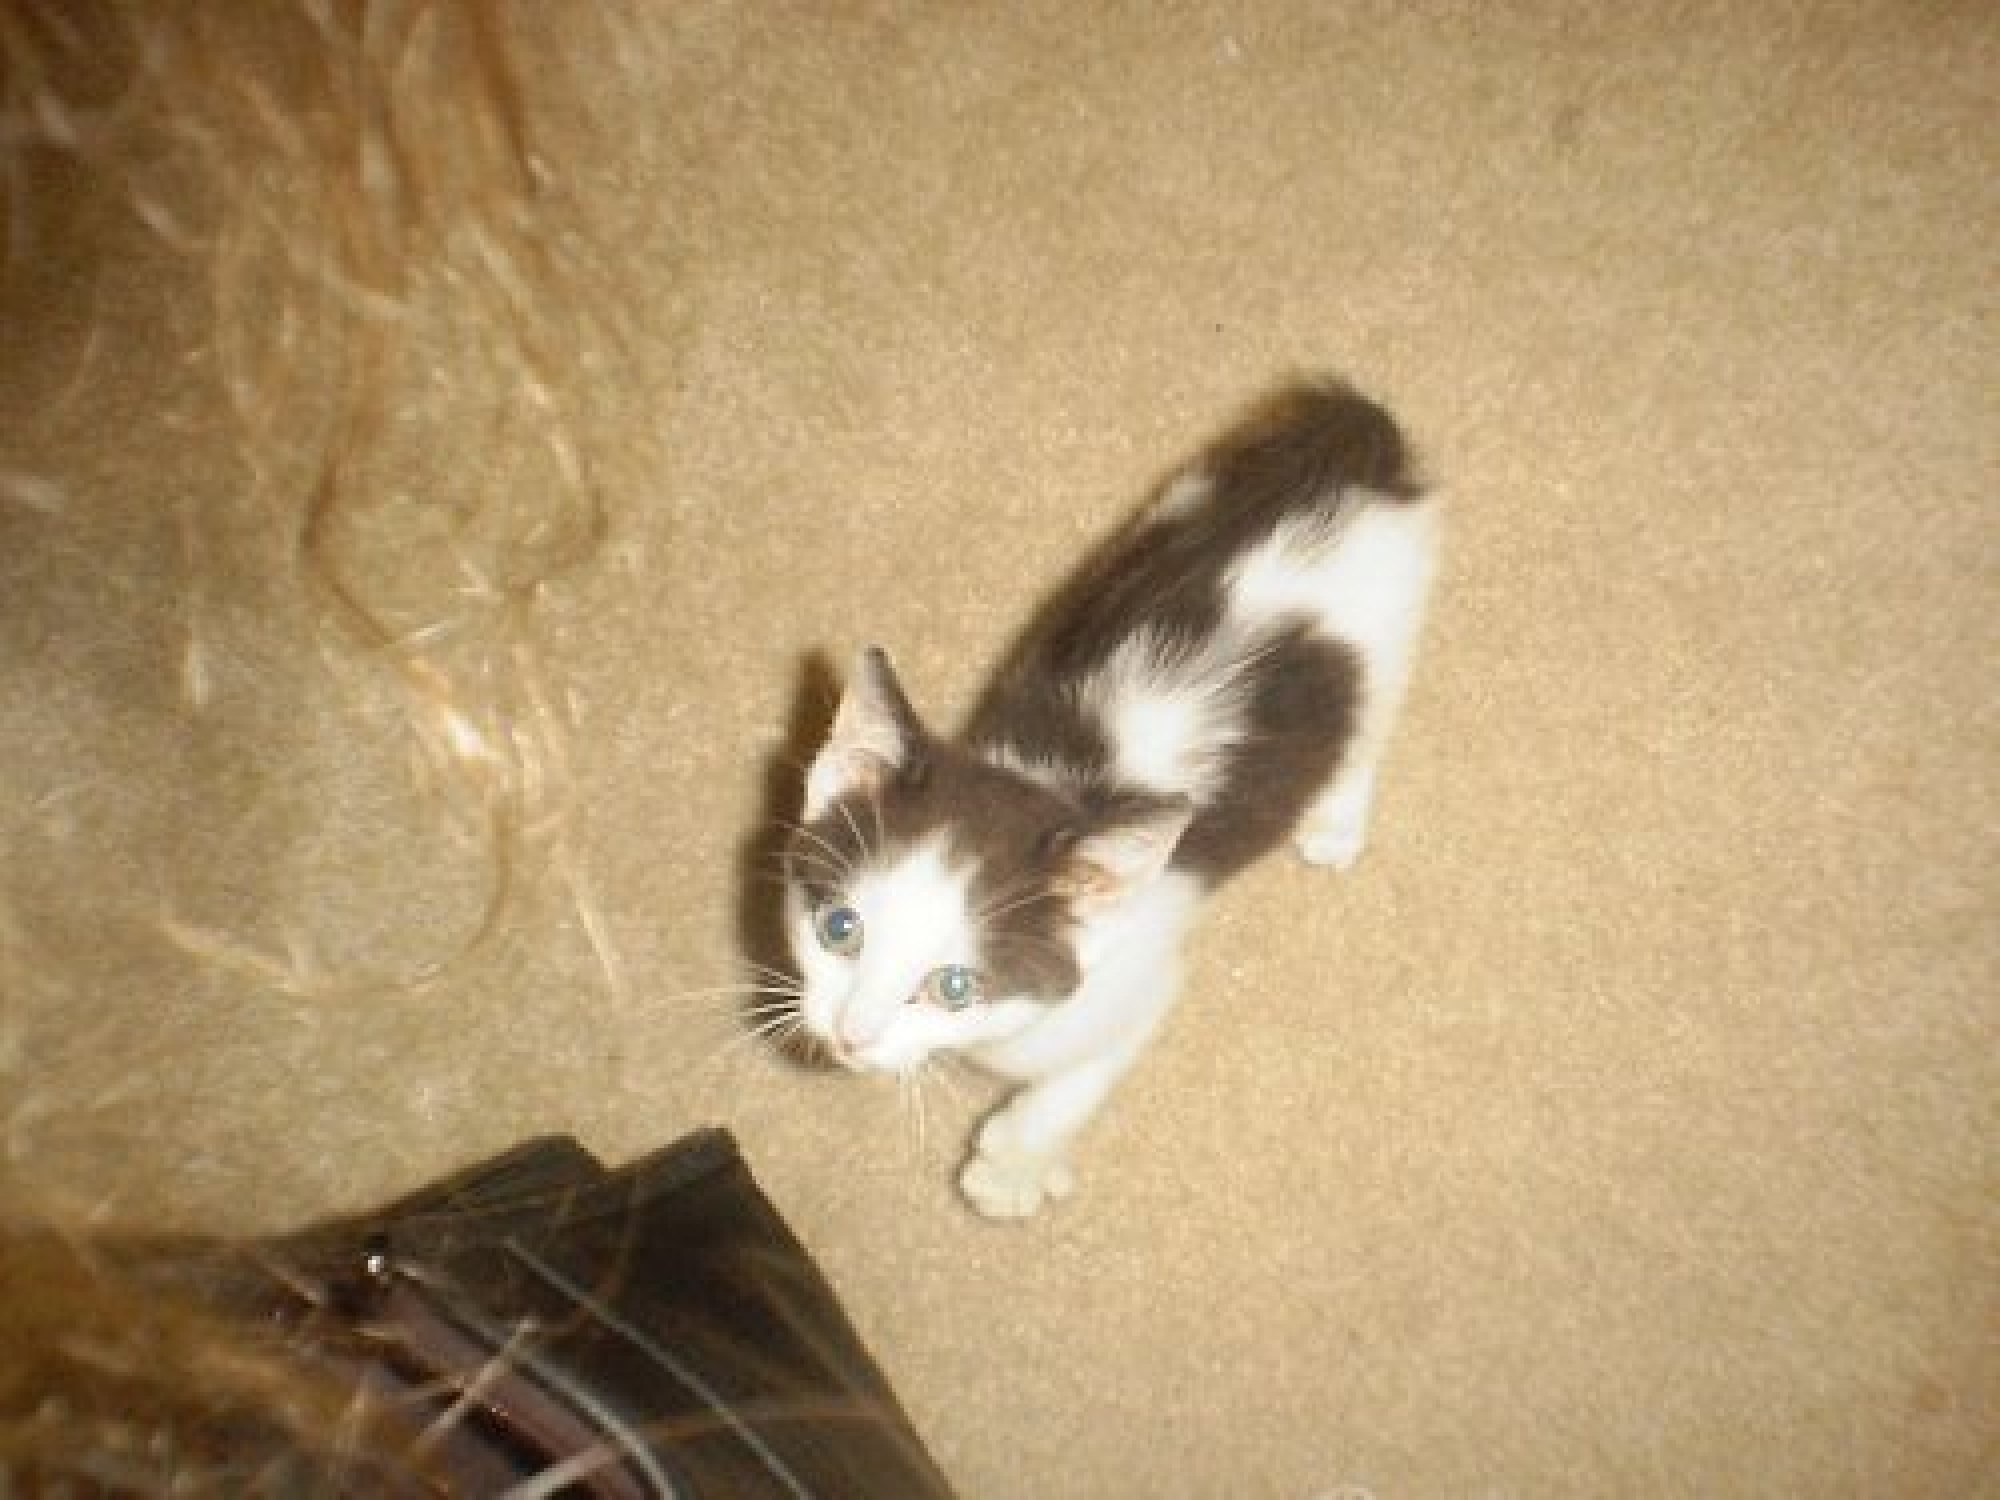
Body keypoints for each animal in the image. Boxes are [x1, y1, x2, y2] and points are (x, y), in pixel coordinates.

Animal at [783, 377, 1438, 1219]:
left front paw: (1014, 1163)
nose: (850, 1036)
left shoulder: (1135, 984)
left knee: (1369, 723)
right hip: (1180, 494)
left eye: (955, 987)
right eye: (841, 928)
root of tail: (1352, 455)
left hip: (1393, 621)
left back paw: (1335, 818)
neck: (1052, 779)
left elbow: (1089, 1069)